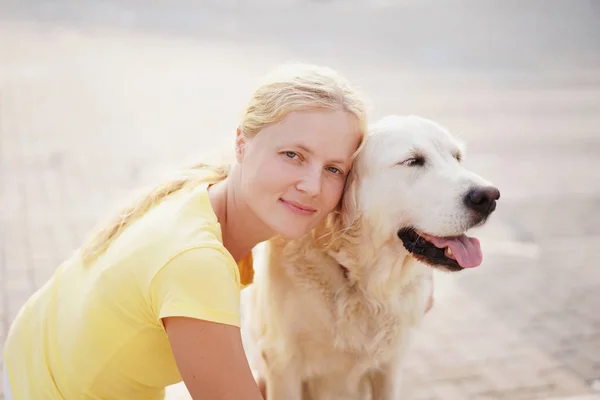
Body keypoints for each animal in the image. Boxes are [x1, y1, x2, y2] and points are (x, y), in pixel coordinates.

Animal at [241, 114, 500, 398]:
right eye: (413, 161)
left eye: (457, 157)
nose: (489, 197)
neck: (363, 284)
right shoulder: (282, 363)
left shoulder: (390, 366)